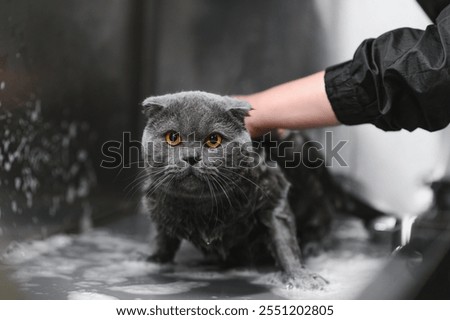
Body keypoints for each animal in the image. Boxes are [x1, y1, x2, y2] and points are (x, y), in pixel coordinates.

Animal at [142, 91, 334, 288]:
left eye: (214, 140)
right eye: (172, 137)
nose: (191, 157)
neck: (203, 209)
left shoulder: (274, 192)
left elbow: (284, 239)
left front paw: (300, 277)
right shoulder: (157, 204)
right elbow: (162, 240)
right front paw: (150, 262)